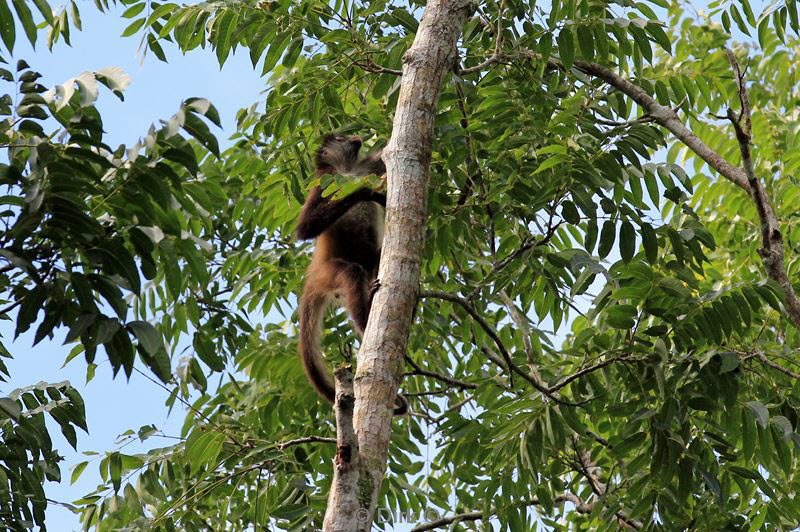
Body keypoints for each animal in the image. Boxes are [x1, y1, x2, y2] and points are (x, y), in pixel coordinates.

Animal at [296, 133, 410, 416]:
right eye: (340, 137)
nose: (355, 137)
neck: (346, 170)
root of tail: (313, 277)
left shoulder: (365, 166)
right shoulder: (322, 183)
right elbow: (305, 229)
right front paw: (364, 192)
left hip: (369, 262)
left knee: (378, 256)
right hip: (329, 273)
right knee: (351, 272)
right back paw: (364, 321)